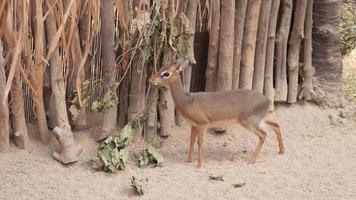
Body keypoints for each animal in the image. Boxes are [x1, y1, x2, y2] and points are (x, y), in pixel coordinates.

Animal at [149, 58, 284, 168]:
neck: (187, 101)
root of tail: (268, 100)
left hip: (249, 123)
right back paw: (281, 151)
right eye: (161, 68)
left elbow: (200, 143)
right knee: (276, 125)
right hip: (259, 120)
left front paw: (199, 165)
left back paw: (251, 160)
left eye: (166, 73)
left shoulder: (203, 124)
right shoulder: (194, 125)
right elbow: (191, 141)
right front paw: (188, 161)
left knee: (263, 135)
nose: (151, 80)